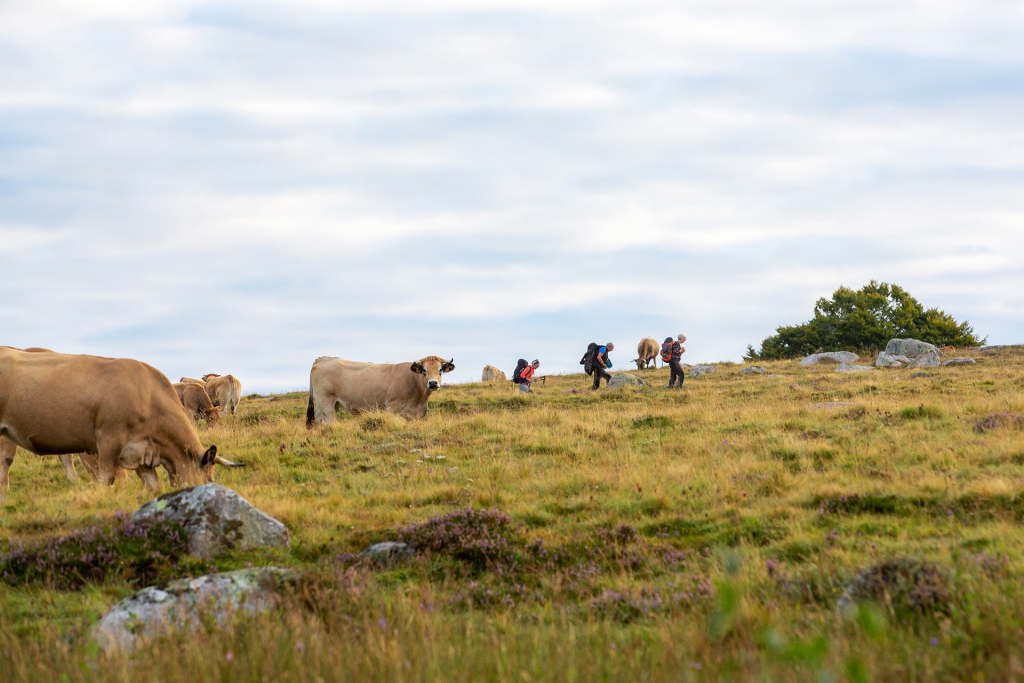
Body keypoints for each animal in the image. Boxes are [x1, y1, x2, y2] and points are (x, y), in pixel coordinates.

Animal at [303, 356, 456, 423]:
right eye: (424, 370)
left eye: (440, 370)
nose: (433, 383)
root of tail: (325, 358)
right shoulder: (392, 407)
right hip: (326, 402)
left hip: (331, 403)